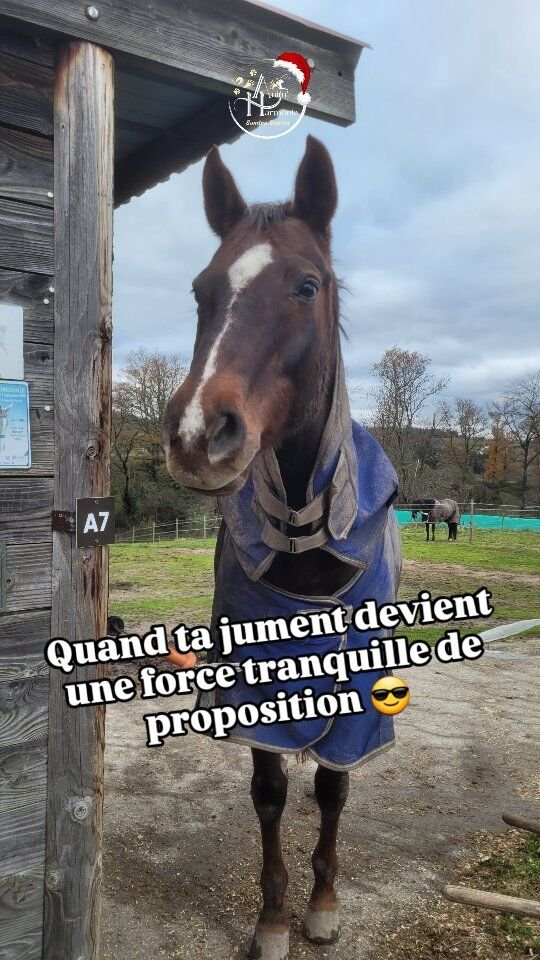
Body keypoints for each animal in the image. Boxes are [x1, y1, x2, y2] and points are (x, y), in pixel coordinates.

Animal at [163, 136, 402, 960]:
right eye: (200, 290)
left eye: (307, 285)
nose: (200, 434)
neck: (305, 534)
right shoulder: (254, 688)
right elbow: (269, 792)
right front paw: (272, 920)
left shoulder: (360, 694)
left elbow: (333, 784)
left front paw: (322, 906)